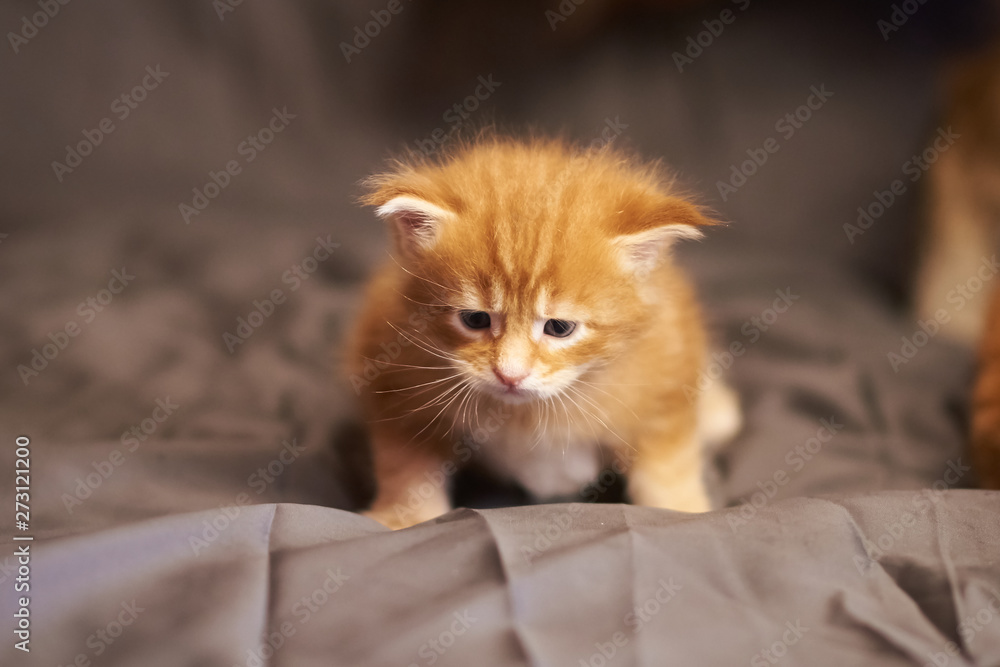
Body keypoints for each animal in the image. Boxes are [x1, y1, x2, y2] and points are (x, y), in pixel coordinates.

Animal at [350, 137, 736, 532]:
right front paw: (403, 518)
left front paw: (684, 510)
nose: (510, 375)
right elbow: (405, 465)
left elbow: (668, 467)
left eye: (559, 328)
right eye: (475, 319)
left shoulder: (667, 377)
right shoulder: (391, 374)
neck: (525, 416)